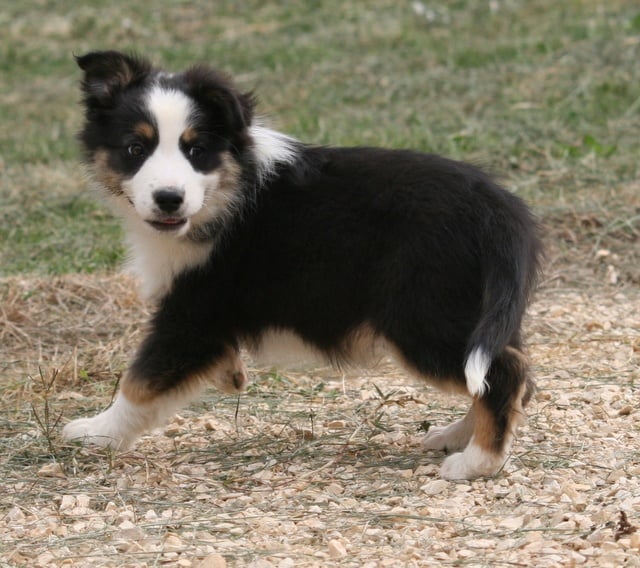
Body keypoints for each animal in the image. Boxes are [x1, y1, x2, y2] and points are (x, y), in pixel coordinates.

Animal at [63, 51, 542, 480]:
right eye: (135, 148)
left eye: (196, 150)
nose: (168, 199)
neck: (227, 190)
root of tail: (500, 208)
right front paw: (230, 375)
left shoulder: (193, 309)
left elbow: (140, 381)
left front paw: (95, 433)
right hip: (474, 308)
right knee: (511, 370)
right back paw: (457, 435)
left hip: (420, 312)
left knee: (504, 372)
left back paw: (475, 462)